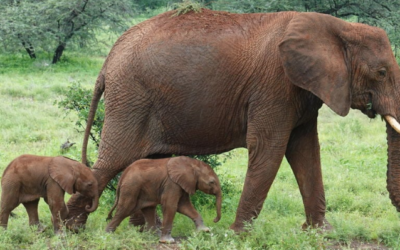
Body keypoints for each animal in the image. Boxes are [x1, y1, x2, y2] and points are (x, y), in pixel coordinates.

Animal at [67, 9, 400, 232]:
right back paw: (70, 230)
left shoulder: (302, 92)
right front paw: (239, 234)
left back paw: (147, 230)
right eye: (381, 72)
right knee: (113, 161)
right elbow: (269, 149)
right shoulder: (275, 86)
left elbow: (306, 151)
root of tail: (109, 58)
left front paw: (321, 233)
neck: (339, 27)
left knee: (142, 162)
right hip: (131, 97)